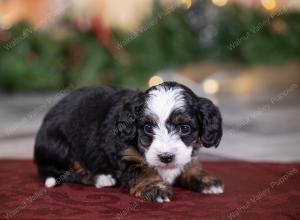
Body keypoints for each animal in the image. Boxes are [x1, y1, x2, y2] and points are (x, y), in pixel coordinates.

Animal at [34, 81, 224, 203]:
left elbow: (189, 164)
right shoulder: (125, 155)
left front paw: (206, 180)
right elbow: (141, 171)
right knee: (69, 172)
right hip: (60, 147)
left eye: (184, 128)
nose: (166, 157)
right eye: (148, 127)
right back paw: (100, 178)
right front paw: (155, 188)